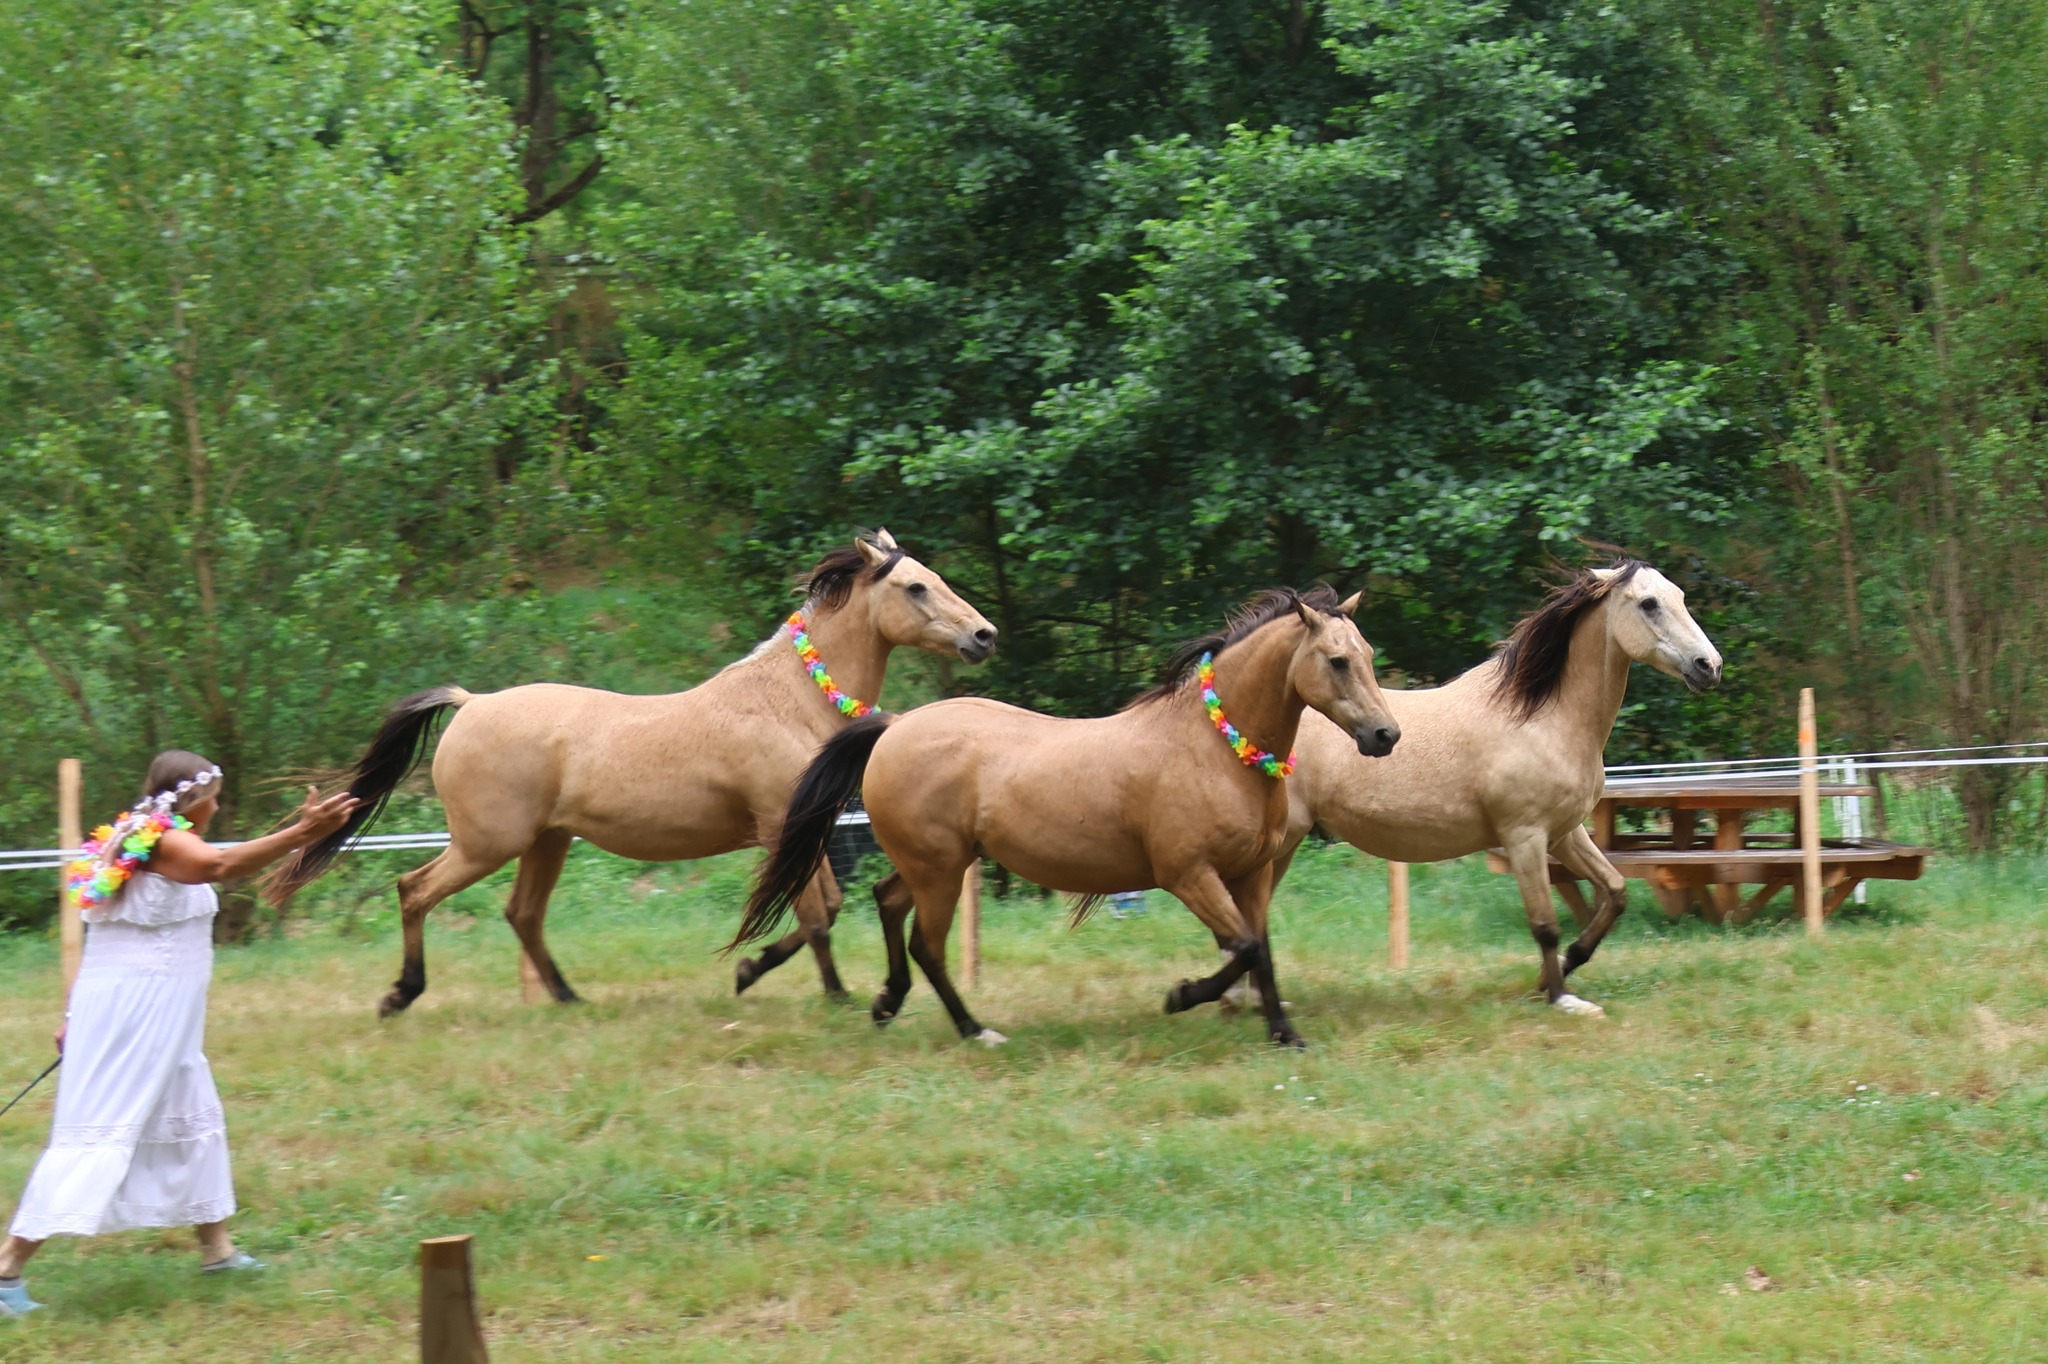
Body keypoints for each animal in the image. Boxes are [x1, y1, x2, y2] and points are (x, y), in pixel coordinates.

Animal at [264, 530, 997, 1017]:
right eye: (915, 586)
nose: (984, 635)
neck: (787, 699)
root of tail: (470, 703)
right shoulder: (778, 825)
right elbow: (817, 915)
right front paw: (818, 990)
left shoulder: (802, 829)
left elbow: (828, 908)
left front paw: (768, 973)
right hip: (486, 843)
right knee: (414, 891)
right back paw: (401, 995)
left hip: (546, 842)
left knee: (522, 914)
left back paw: (567, 998)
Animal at [731, 586, 1402, 1049]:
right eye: (1337, 661)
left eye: (1369, 654)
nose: (1385, 735)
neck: (1213, 746)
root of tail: (897, 726)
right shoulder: (1188, 874)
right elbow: (1240, 947)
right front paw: (1181, 995)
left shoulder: (1251, 874)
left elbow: (1261, 951)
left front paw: (1284, 1033)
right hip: (941, 870)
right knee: (927, 944)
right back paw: (974, 1030)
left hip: (936, 864)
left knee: (889, 903)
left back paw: (886, 1003)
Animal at [1250, 560, 1721, 1017]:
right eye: (1648, 604)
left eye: (1679, 596)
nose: (1709, 666)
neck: (1544, 717)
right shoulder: (1525, 837)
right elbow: (1545, 925)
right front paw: (1561, 998)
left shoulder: (1564, 834)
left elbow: (1615, 892)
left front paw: (1563, 967)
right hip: (1281, 842)